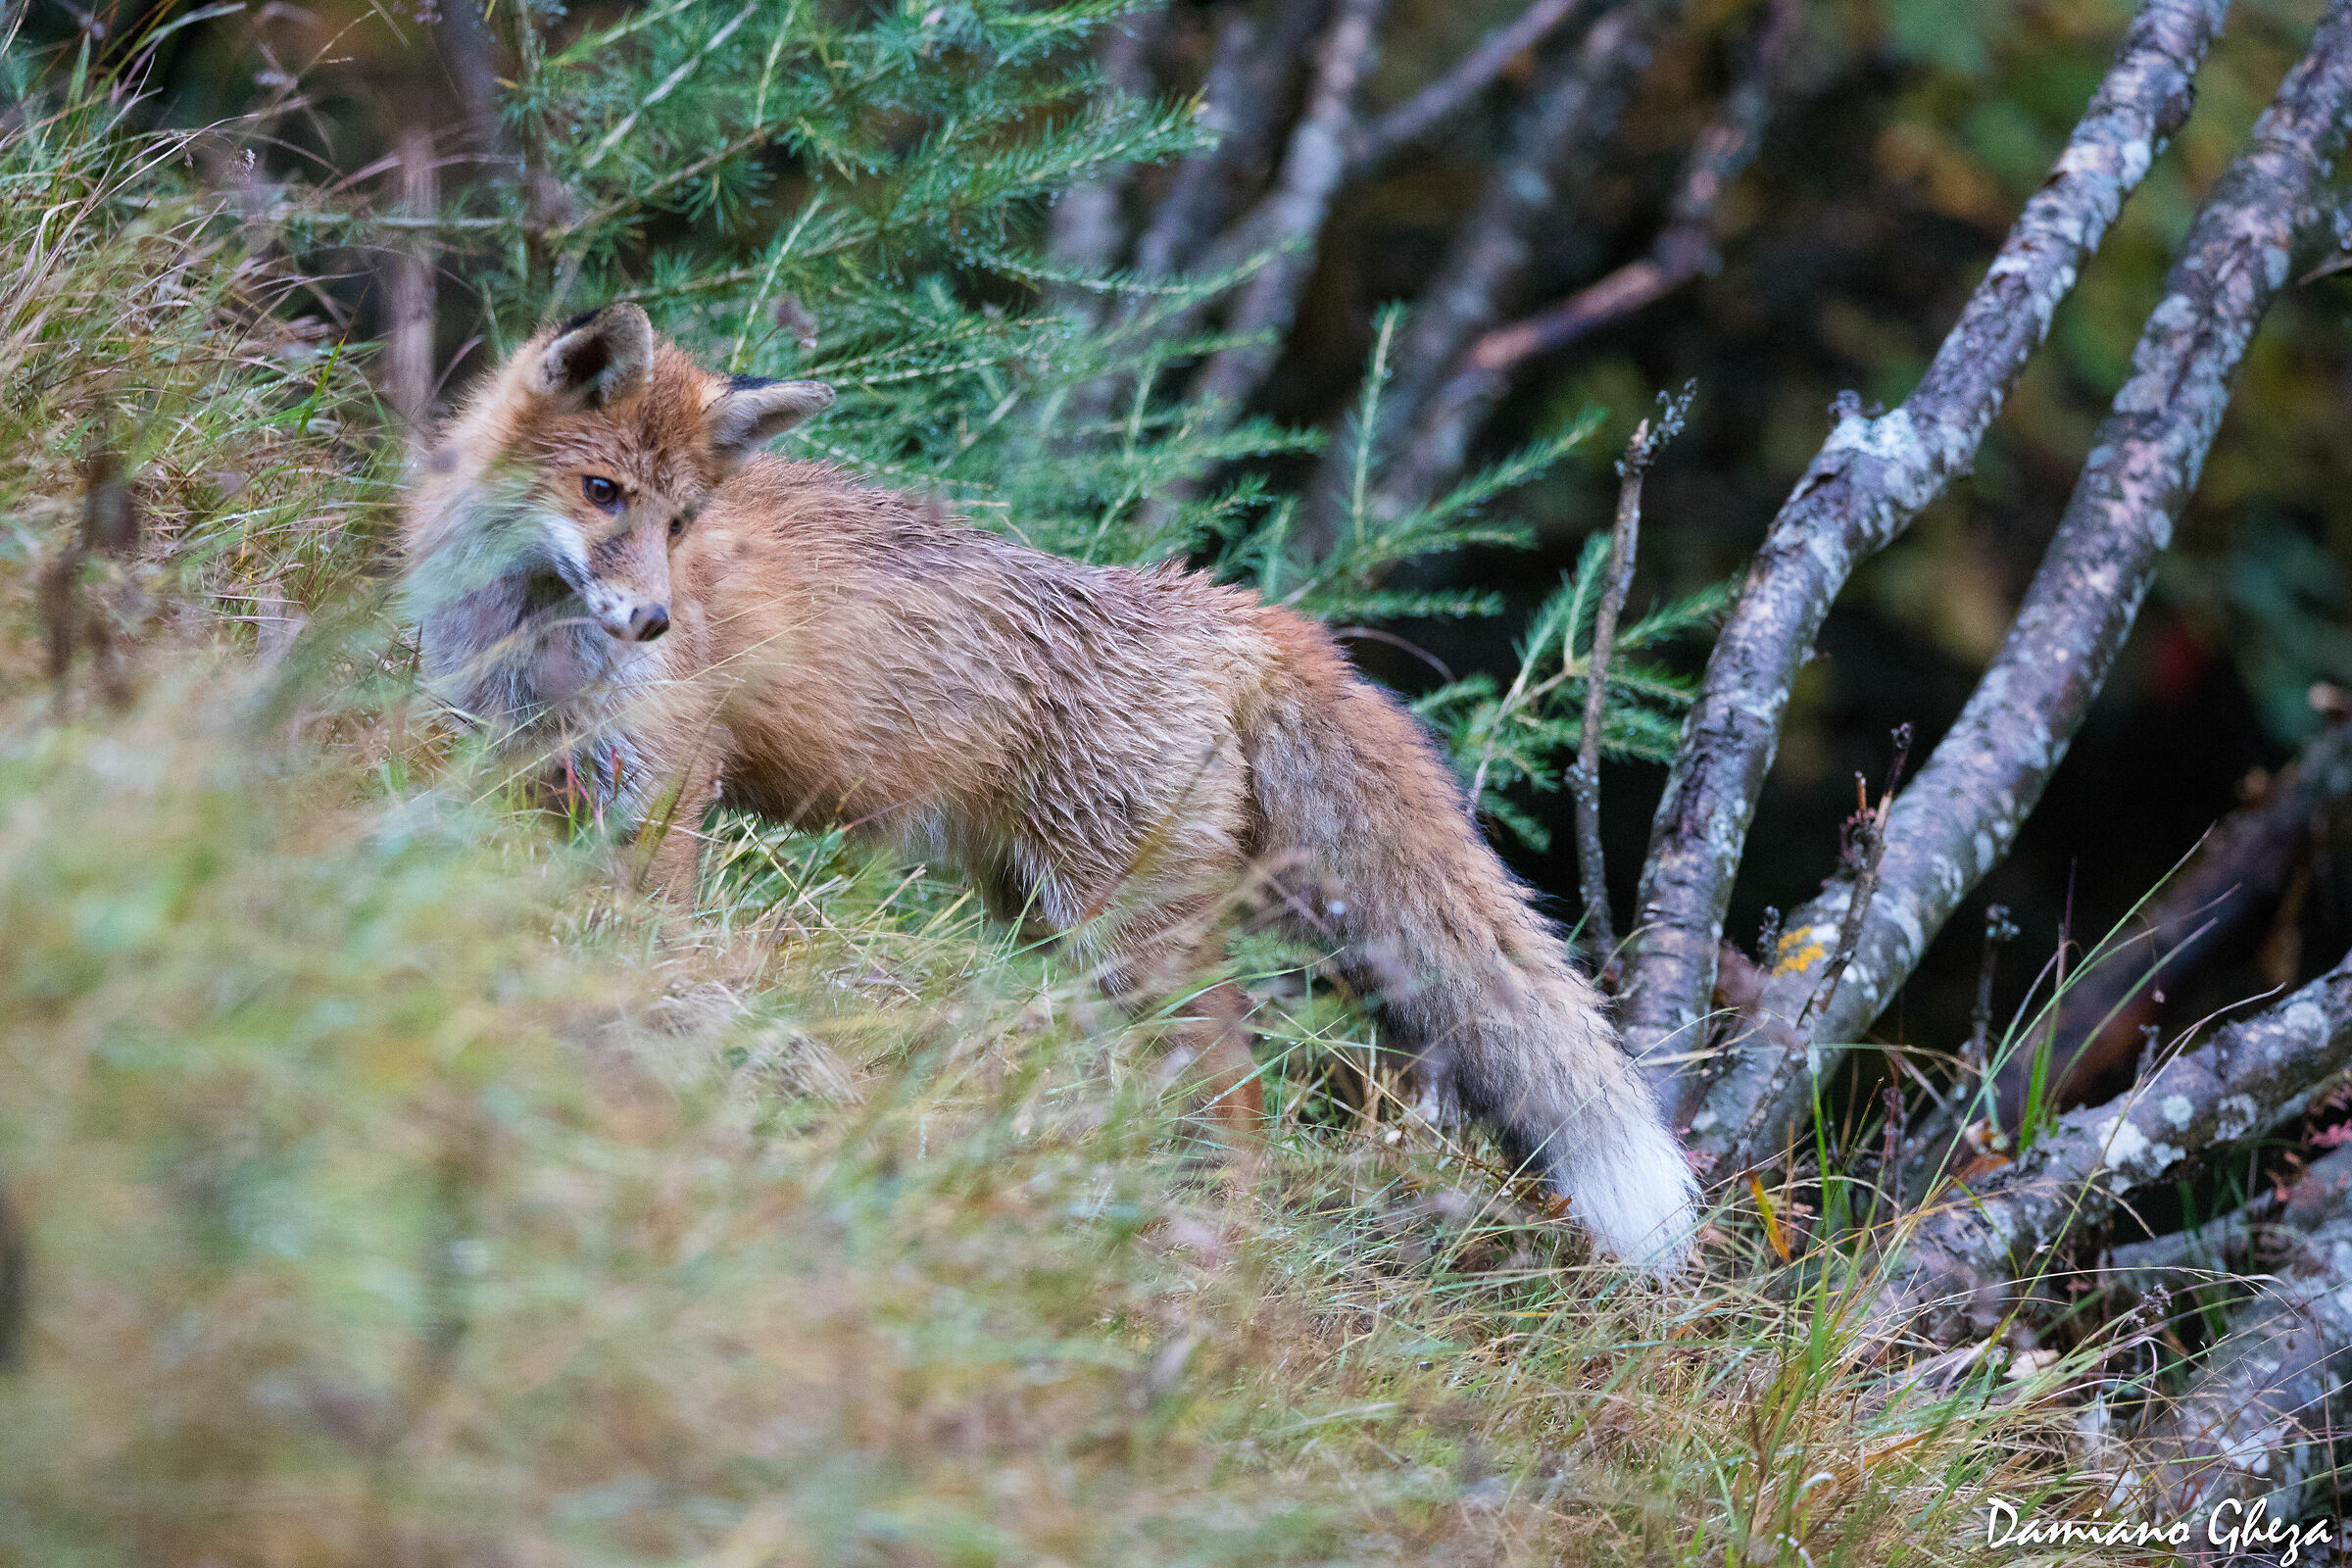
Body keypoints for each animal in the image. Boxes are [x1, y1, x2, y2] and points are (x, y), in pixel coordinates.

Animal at [401, 303, 1699, 1270]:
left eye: (679, 521)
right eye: (603, 493)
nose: (653, 619)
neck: (522, 628)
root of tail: (1227, 607)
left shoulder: (664, 783)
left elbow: (650, 936)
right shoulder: (498, 750)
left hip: (1125, 937)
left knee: (1235, 1096)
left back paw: (1210, 1255)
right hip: (1044, 923)